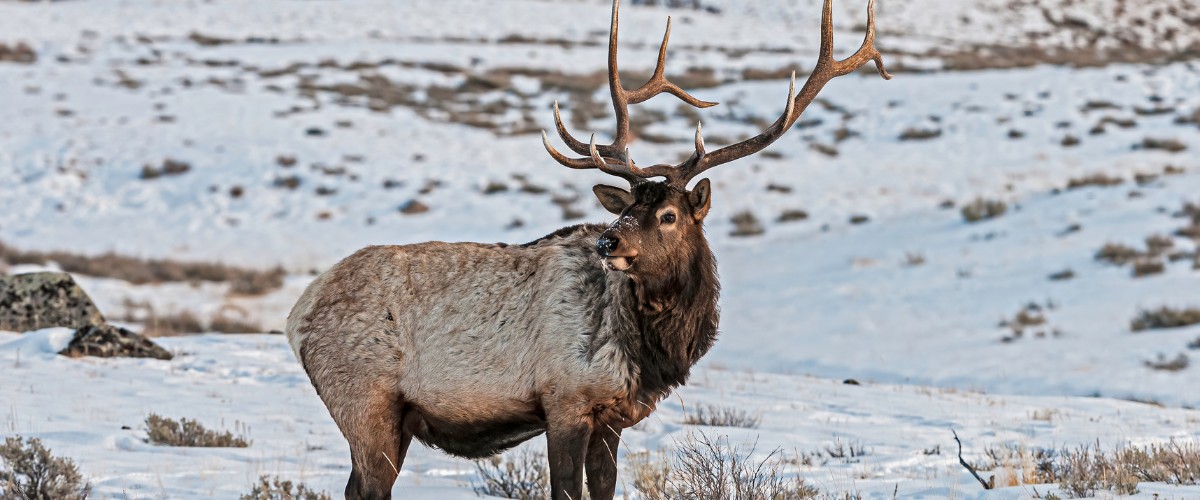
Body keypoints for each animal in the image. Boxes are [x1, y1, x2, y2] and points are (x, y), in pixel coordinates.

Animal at [288, 1, 892, 496]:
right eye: (625, 209)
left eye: (669, 214)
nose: (609, 239)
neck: (651, 351)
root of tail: (299, 315)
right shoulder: (565, 402)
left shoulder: (611, 418)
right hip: (367, 403)